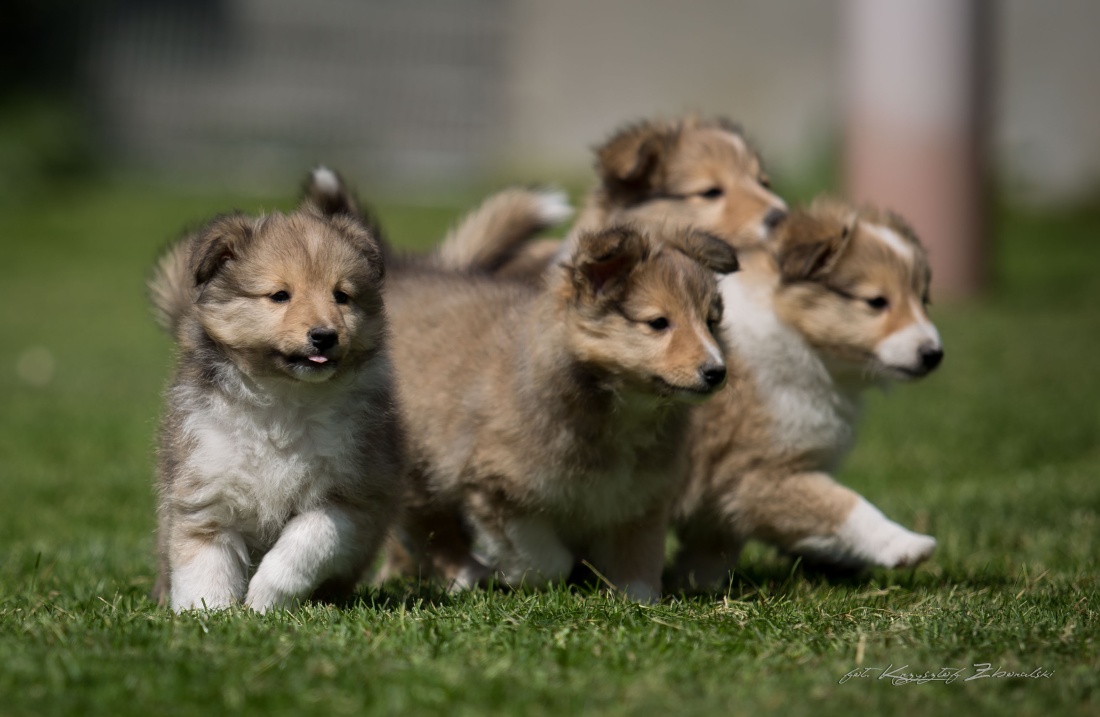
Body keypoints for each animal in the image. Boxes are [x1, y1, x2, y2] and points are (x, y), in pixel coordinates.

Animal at [147, 168, 404, 611]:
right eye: (280, 295)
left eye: (342, 295)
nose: (324, 336)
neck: (284, 400)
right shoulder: (204, 492)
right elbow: (203, 568)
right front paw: (210, 615)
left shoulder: (352, 497)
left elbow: (304, 543)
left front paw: (262, 602)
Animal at [382, 225, 734, 607]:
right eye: (658, 323)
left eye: (711, 322)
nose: (717, 372)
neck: (621, 409)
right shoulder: (498, 488)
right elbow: (546, 561)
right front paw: (519, 575)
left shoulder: (641, 495)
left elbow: (639, 560)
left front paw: (637, 602)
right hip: (418, 466)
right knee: (428, 525)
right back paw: (469, 573)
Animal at [668, 197, 946, 589]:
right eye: (876, 301)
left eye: (922, 299)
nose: (934, 354)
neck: (795, 337)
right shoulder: (756, 474)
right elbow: (843, 504)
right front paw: (907, 545)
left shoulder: (722, 499)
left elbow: (712, 551)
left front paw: (691, 583)